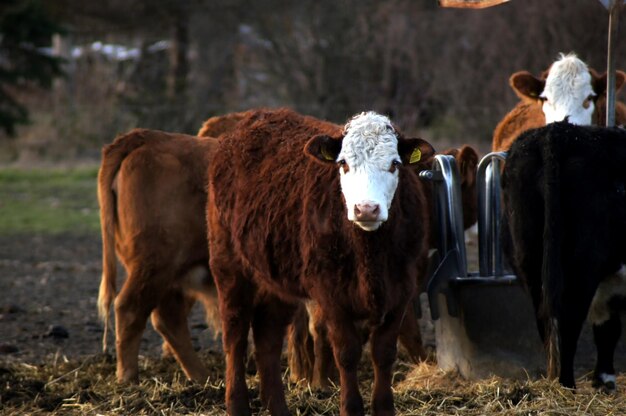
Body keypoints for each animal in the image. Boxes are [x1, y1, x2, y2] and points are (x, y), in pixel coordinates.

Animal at [208, 108, 434, 416]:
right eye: (343, 163)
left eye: (395, 164)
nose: (366, 208)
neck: (370, 257)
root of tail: (249, 119)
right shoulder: (330, 293)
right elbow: (346, 352)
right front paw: (350, 408)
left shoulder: (402, 288)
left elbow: (384, 352)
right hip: (228, 266)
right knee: (235, 335)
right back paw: (237, 404)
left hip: (276, 281)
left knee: (268, 340)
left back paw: (278, 407)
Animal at [500, 122, 626, 392]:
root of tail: (557, 133)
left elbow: (607, 328)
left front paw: (604, 380)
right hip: (583, 264)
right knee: (569, 321)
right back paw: (566, 385)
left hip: (529, 261)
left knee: (547, 321)